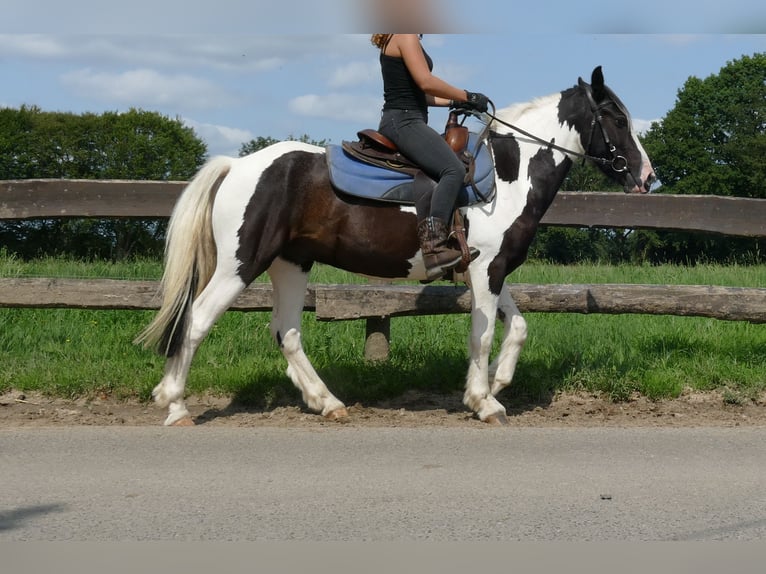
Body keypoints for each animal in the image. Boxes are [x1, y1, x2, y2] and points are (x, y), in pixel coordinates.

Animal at [136, 66, 656, 428]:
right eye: (615, 118)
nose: (647, 177)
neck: (511, 172)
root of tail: (237, 165)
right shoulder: (487, 268)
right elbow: (483, 334)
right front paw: (484, 401)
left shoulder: (489, 268)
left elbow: (518, 327)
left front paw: (497, 382)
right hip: (242, 264)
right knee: (197, 321)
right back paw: (175, 405)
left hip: (291, 263)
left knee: (286, 332)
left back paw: (328, 403)